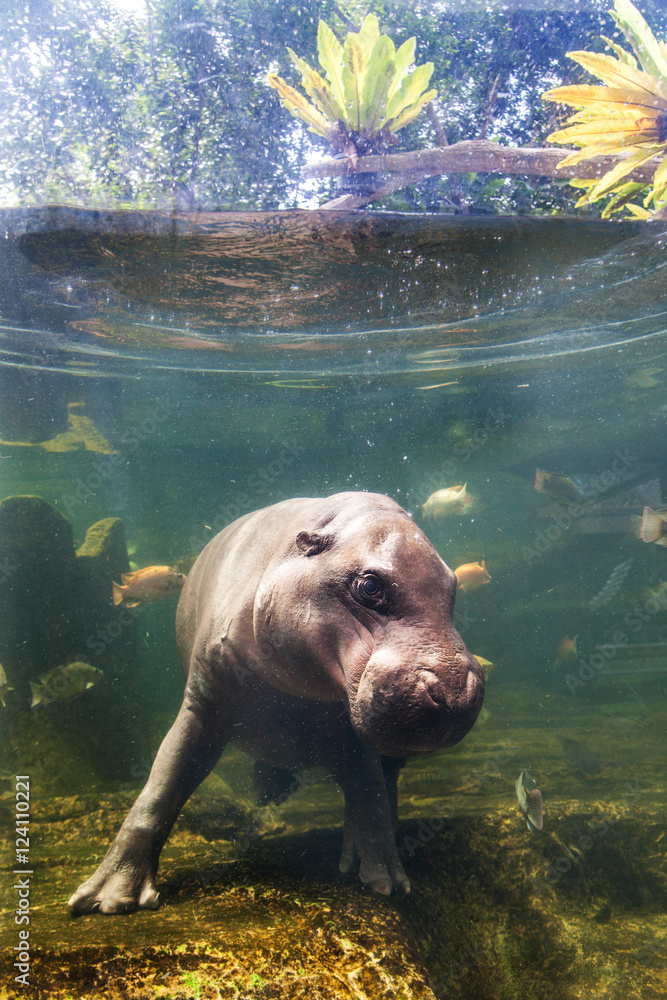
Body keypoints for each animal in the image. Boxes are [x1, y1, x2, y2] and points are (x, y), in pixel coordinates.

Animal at [69, 492, 484, 914]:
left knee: (388, 783)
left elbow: (371, 794)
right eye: (369, 585)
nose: (453, 691)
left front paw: (387, 882)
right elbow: (161, 787)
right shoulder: (202, 704)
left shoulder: (350, 729)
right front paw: (109, 899)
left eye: (452, 587)